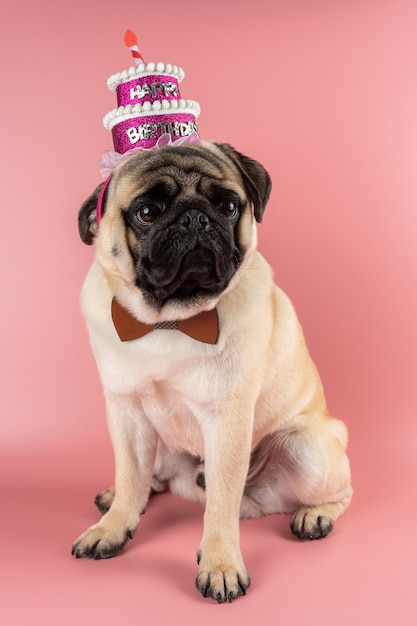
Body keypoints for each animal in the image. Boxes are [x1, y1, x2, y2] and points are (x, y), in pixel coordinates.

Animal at [72, 140, 352, 600]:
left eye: (228, 206)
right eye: (146, 212)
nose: (194, 217)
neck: (170, 321)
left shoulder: (226, 422)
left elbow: (221, 505)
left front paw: (221, 564)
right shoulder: (126, 413)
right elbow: (130, 475)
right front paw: (112, 526)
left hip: (307, 447)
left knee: (341, 491)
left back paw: (316, 514)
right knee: (147, 476)